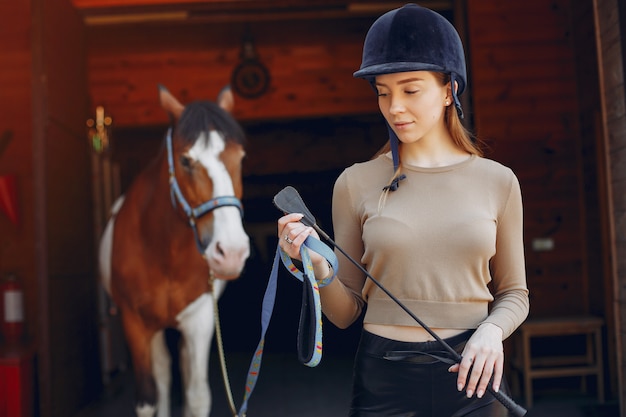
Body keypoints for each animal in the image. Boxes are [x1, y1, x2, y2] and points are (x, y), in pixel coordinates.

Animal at [97, 85, 249, 416]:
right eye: (186, 161)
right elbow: (147, 398)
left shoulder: (200, 318)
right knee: (163, 373)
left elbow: (197, 396)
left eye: (240, 157)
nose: (231, 252)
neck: (165, 253)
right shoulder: (135, 323)